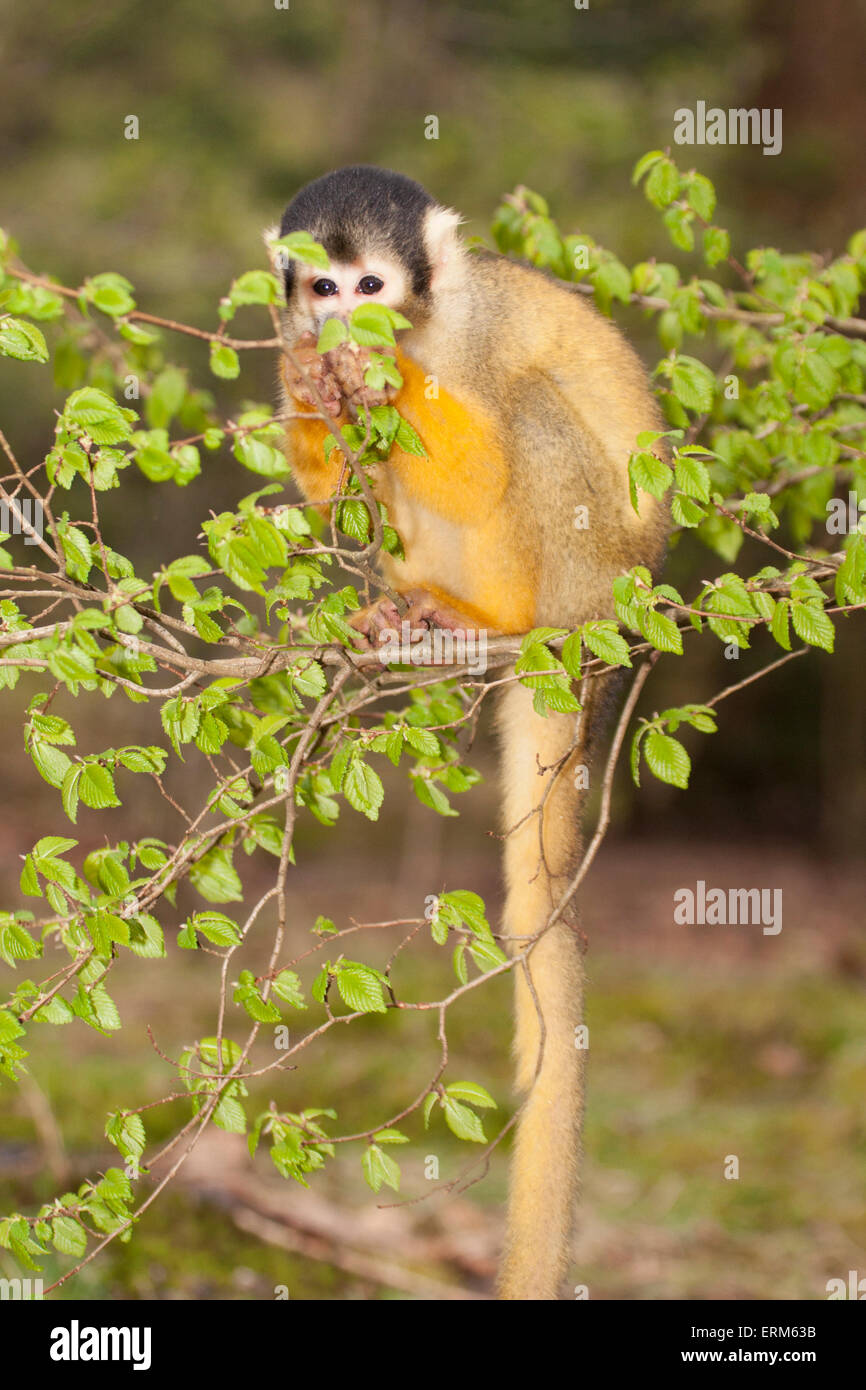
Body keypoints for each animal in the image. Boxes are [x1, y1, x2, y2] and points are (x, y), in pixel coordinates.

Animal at [271, 165, 668, 1300]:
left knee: (527, 419)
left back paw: (489, 614)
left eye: (372, 282)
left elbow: (483, 453)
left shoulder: (474, 335)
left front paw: (377, 373)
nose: (344, 320)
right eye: (322, 284)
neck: (424, 318)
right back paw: (422, 609)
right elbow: (342, 485)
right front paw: (312, 379)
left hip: (590, 571)